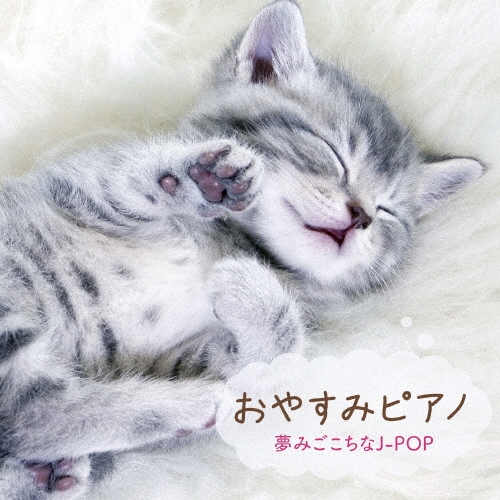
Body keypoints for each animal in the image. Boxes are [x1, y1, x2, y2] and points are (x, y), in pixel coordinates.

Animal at [0, 0, 484, 498]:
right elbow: (127, 177)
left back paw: (54, 471)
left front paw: (250, 286)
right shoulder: (78, 187)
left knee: (24, 416)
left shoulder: (190, 358)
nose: (361, 217)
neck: (232, 240)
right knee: (27, 412)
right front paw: (203, 181)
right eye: (332, 151)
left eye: (389, 212)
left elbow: (275, 356)